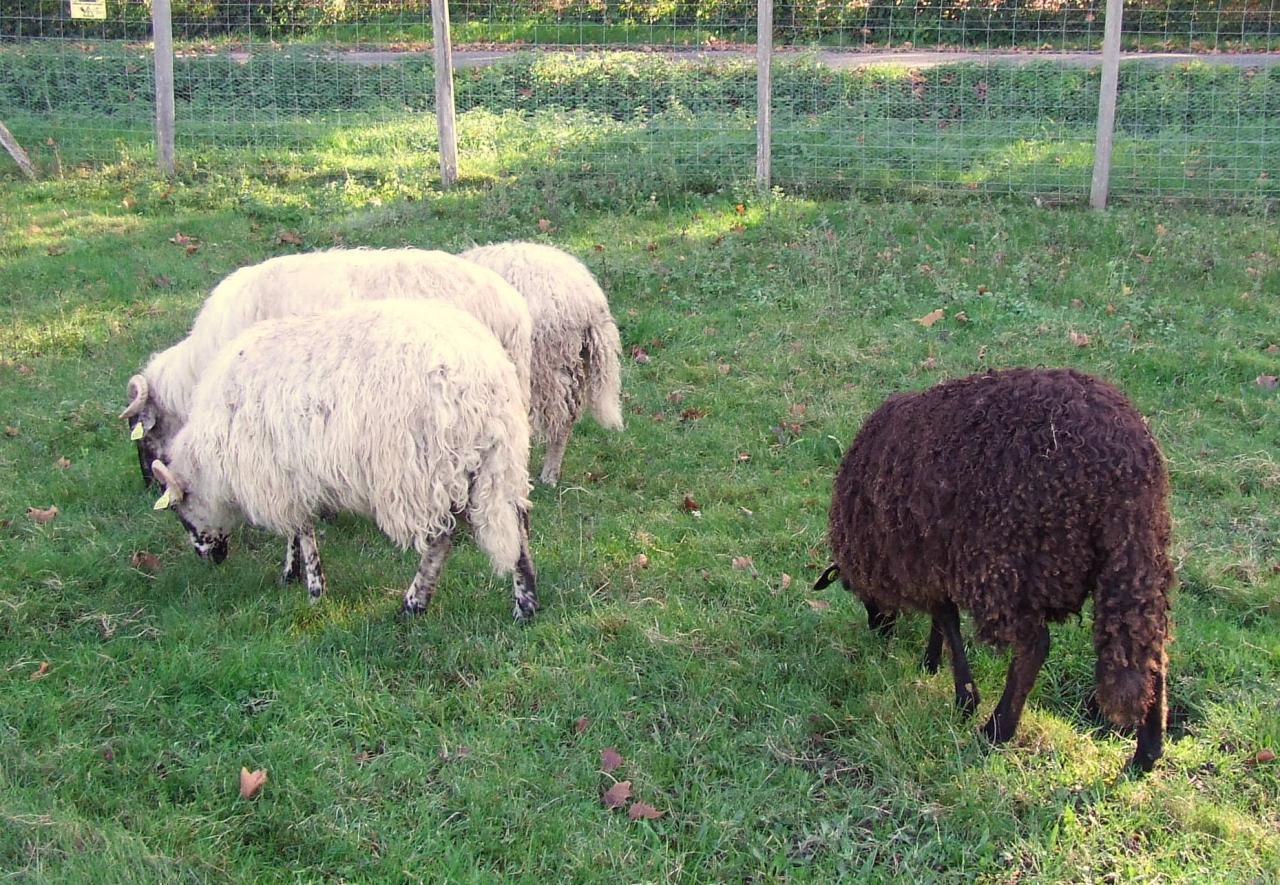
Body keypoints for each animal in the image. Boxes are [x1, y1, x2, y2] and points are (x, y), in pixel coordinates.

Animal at [147, 300, 537, 619]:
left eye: (179, 512)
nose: (209, 559)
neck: (214, 463)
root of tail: (483, 378)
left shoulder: (279, 480)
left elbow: (302, 533)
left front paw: (312, 589)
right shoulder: (294, 478)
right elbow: (297, 533)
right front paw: (293, 576)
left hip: (419, 470)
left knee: (440, 541)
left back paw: (413, 604)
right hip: (497, 460)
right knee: (517, 528)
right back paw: (526, 605)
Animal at [814, 366, 1172, 768]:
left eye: (856, 592)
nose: (878, 632)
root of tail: (1125, 467)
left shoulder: (925, 559)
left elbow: (947, 620)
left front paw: (963, 697)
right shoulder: (937, 561)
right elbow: (942, 619)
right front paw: (932, 664)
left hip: (1007, 563)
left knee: (1034, 647)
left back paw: (997, 729)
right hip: (1134, 559)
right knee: (1150, 647)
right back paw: (1146, 753)